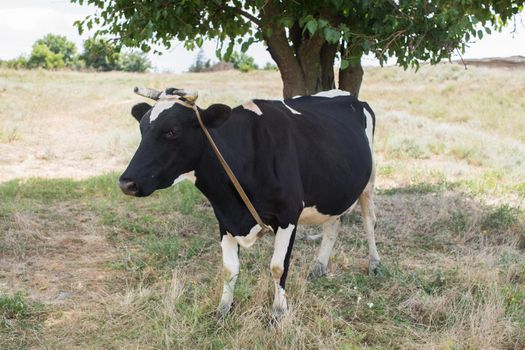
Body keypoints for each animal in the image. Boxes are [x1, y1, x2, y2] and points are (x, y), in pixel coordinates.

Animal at [119, 88, 380, 320]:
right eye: (142, 129)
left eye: (172, 131)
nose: (126, 183)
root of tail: (350, 96)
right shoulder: (224, 218)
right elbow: (229, 268)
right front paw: (223, 310)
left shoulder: (288, 214)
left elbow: (278, 267)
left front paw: (278, 312)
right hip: (335, 188)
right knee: (333, 224)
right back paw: (319, 266)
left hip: (368, 181)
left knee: (369, 222)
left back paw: (375, 264)